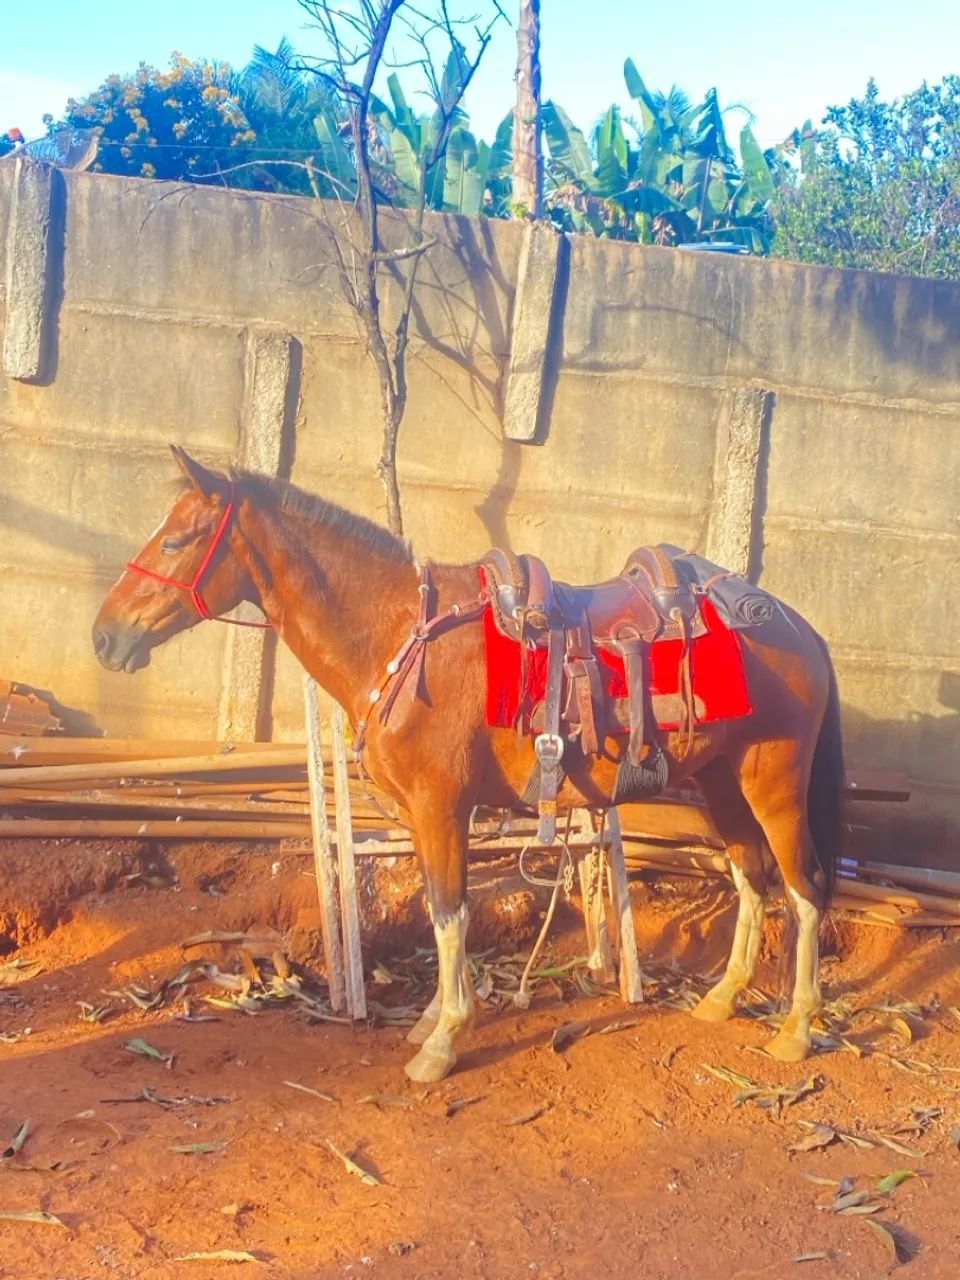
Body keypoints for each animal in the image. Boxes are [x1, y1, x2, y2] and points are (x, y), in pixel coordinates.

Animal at [92, 447, 844, 1082]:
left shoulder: (441, 807)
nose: (104, 636)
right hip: (723, 782)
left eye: (176, 541)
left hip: (773, 786)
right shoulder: (422, 816)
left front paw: (445, 1037)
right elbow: (436, 907)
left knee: (804, 888)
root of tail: (799, 627)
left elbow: (450, 912)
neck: (403, 635)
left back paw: (797, 1028)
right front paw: (430, 1019)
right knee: (752, 877)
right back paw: (723, 997)